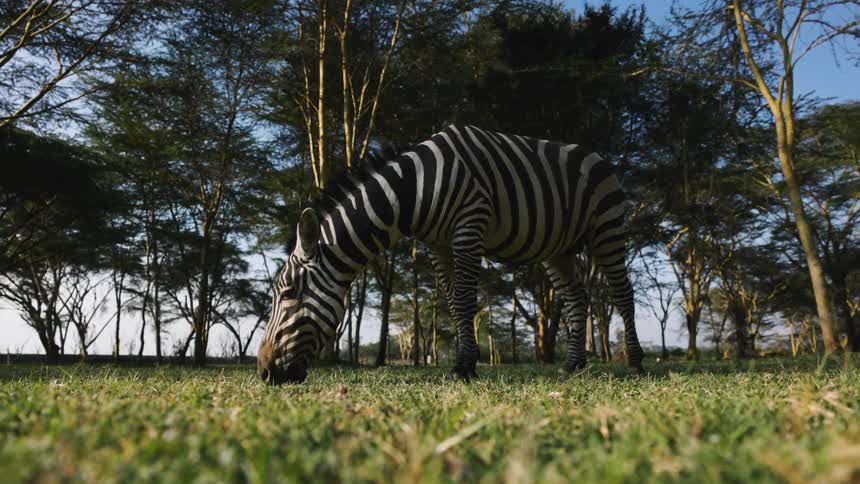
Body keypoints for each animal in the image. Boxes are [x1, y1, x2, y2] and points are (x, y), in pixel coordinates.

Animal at [257, 125, 644, 384]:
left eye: (288, 293)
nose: (263, 370)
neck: (410, 191)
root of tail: (597, 155)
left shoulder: (468, 228)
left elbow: (464, 301)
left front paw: (462, 368)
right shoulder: (438, 244)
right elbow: (453, 304)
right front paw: (466, 364)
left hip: (607, 227)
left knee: (623, 293)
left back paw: (636, 362)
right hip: (557, 247)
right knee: (578, 299)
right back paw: (573, 365)